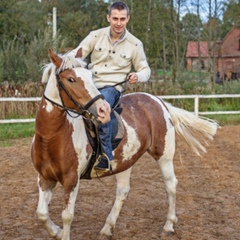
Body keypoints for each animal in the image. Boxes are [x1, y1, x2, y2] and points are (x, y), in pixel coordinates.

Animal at [31, 49, 219, 240]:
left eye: (90, 76)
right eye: (71, 79)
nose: (103, 110)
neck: (50, 138)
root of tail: (159, 101)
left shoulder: (71, 180)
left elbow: (67, 216)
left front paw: (62, 231)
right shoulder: (45, 178)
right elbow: (41, 213)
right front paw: (56, 231)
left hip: (164, 156)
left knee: (171, 185)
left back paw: (168, 226)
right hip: (124, 162)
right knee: (123, 191)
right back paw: (107, 228)